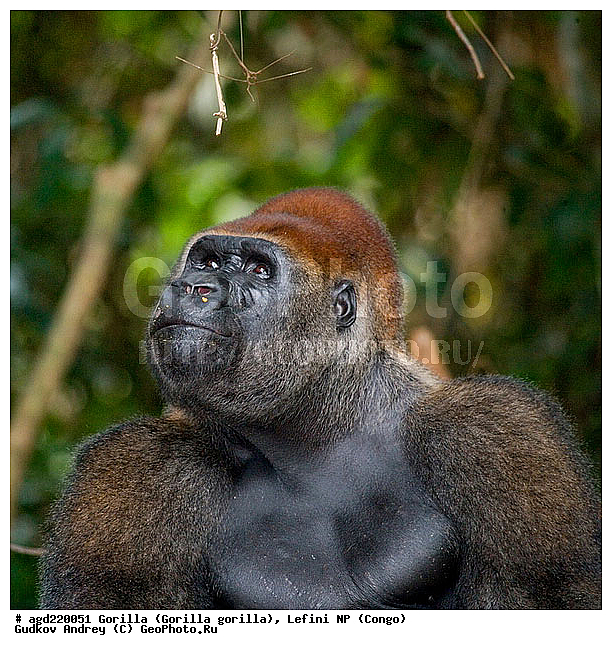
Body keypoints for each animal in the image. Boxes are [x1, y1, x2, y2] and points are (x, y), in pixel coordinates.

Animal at [40, 188, 601, 609]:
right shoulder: (137, 469)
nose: (192, 287)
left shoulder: (499, 431)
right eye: (208, 260)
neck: (319, 426)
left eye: (257, 271)